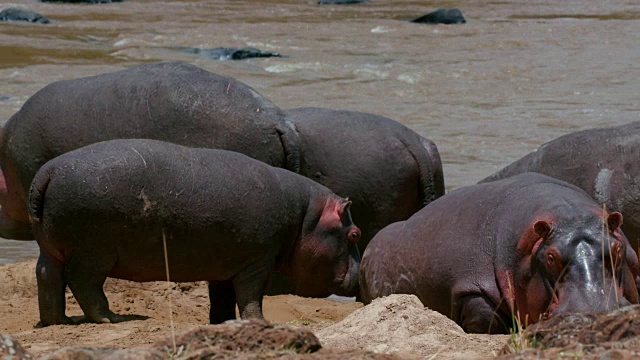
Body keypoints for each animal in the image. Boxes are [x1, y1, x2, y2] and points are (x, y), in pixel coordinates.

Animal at [30, 139, 362, 328]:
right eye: (355, 234)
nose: (361, 274)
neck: (305, 216)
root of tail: (48, 172)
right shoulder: (257, 262)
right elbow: (251, 295)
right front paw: (260, 322)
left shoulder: (227, 264)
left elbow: (222, 298)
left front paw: (222, 324)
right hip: (93, 252)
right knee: (83, 283)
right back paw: (111, 318)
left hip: (51, 248)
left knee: (47, 277)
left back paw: (59, 321)